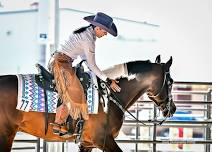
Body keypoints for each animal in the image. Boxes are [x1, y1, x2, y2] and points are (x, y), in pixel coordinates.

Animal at [0, 55, 176, 151]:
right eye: (171, 82)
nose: (172, 109)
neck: (109, 96)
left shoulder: (87, 144)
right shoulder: (104, 140)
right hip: (5, 134)